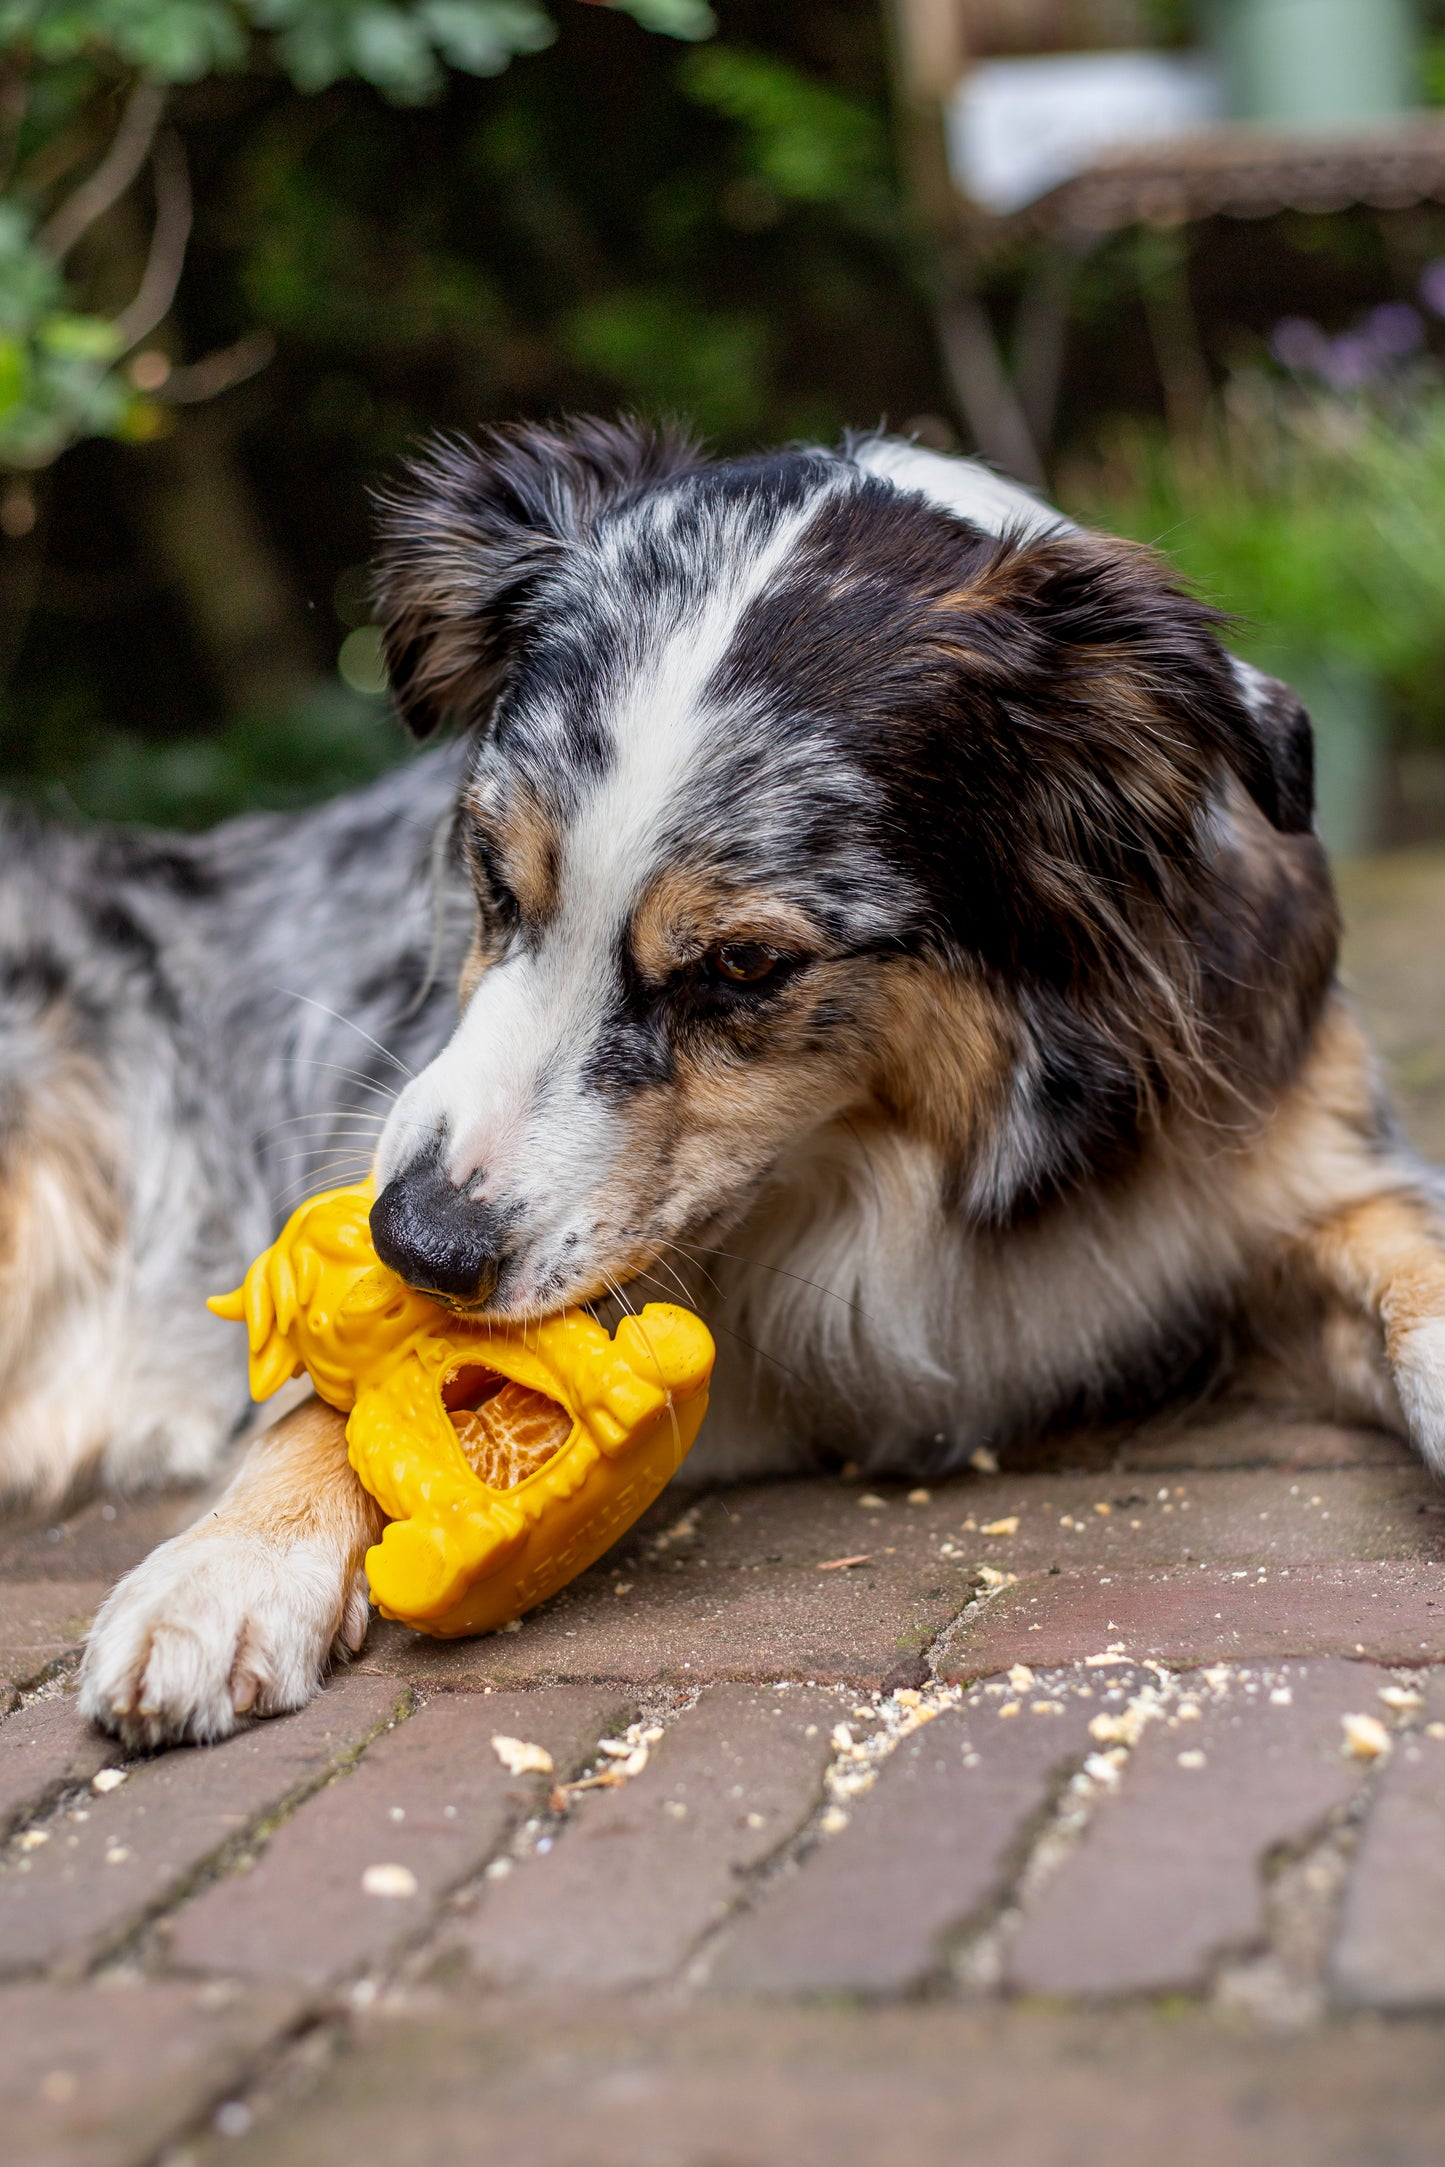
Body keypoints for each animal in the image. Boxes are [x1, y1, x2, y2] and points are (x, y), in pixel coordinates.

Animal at [2, 418, 1445, 1742]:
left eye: (746, 963)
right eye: (488, 870)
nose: (416, 1242)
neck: (901, 1160)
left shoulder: (1301, 1163)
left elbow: (1410, 1262)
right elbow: (333, 1397)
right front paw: (227, 1561)